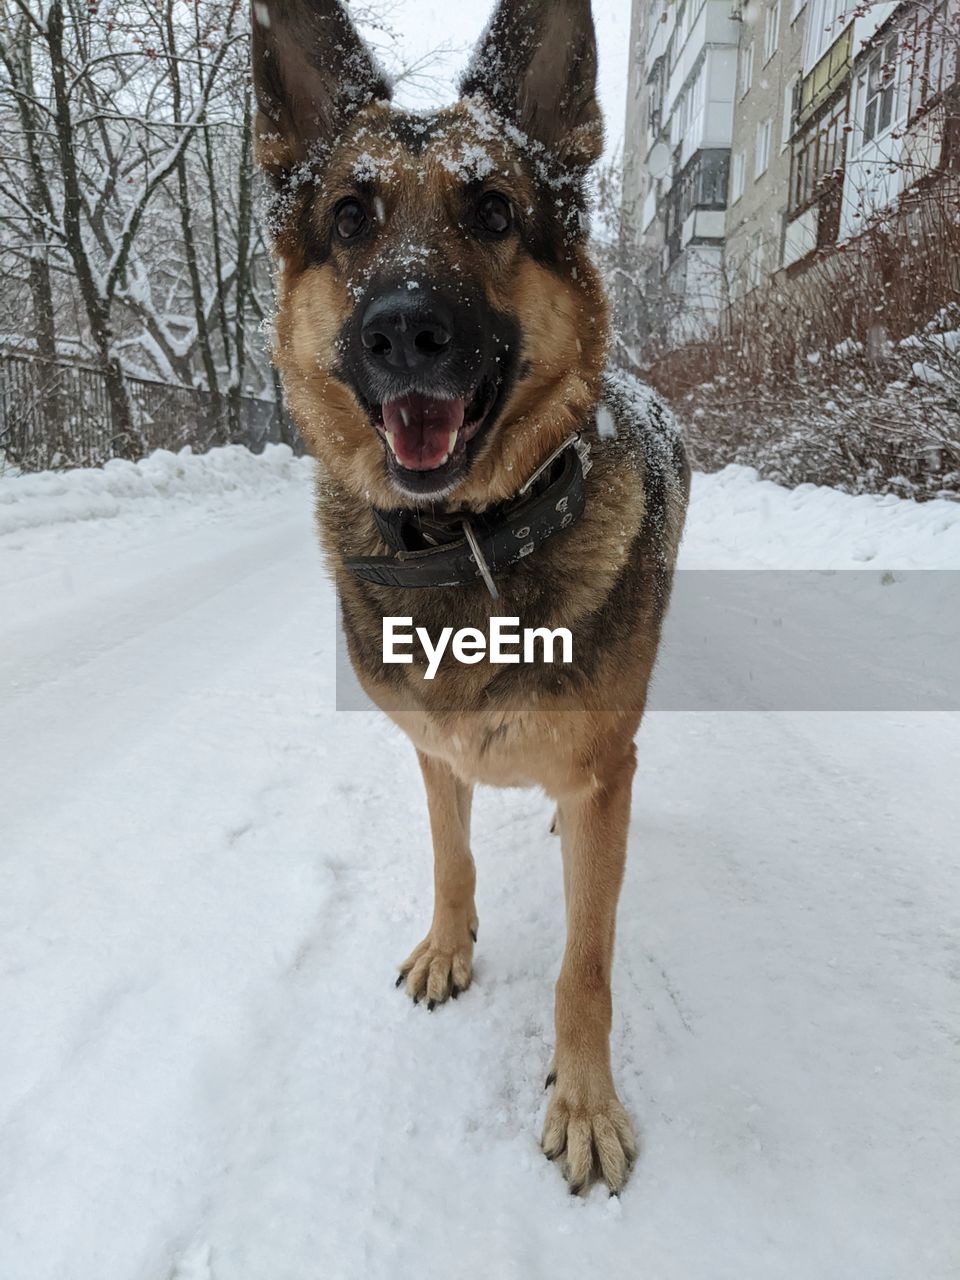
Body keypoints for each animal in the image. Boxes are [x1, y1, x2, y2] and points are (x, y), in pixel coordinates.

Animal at [256, 0, 691, 1192]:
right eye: (350, 217)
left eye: (493, 209)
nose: (405, 330)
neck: (468, 544)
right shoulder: (432, 750)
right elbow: (451, 857)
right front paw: (450, 948)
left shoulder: (601, 775)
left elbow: (586, 961)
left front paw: (585, 1101)